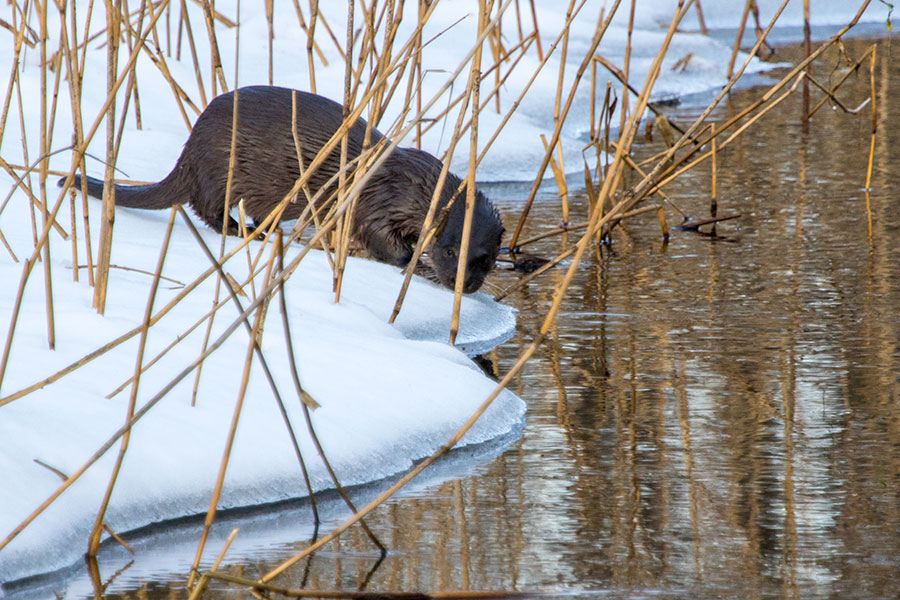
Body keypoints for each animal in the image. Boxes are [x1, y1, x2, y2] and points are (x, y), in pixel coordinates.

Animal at [64, 85, 506, 294]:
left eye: (484, 259)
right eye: (449, 251)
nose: (464, 286)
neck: (411, 186)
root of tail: (190, 148)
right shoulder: (376, 203)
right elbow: (381, 240)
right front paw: (415, 264)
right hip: (218, 169)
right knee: (206, 208)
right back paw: (242, 230)